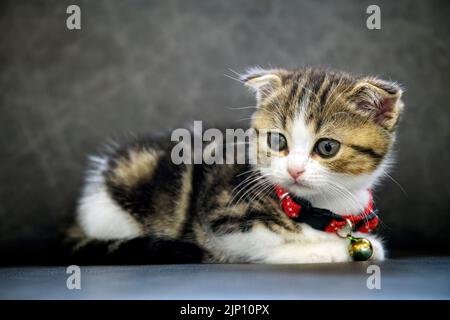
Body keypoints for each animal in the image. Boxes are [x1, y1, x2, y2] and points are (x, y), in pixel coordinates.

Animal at [71, 67, 404, 262]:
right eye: (277, 141)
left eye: (327, 147)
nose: (294, 170)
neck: (321, 208)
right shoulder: (219, 219)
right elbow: (262, 242)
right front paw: (322, 249)